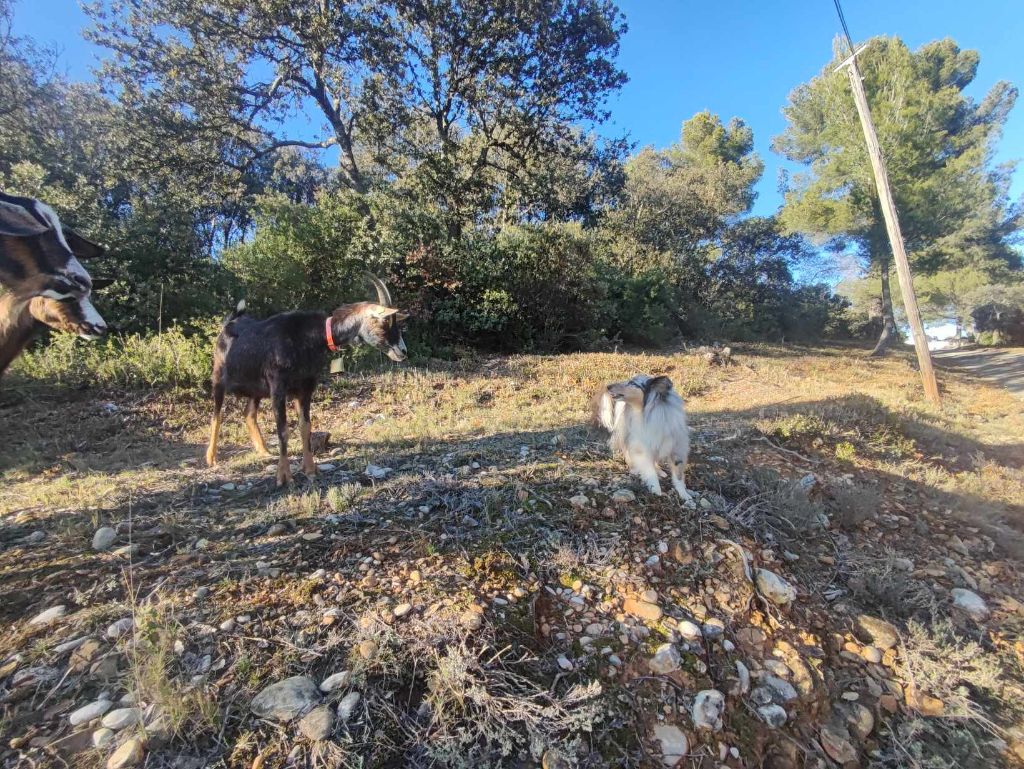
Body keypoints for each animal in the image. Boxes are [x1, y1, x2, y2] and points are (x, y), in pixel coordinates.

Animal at [205, 274, 409, 483]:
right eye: (384, 322)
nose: (403, 351)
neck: (309, 337)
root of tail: (231, 321)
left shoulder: (306, 387)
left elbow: (306, 427)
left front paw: (310, 469)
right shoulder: (278, 387)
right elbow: (283, 430)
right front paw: (284, 475)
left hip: (257, 389)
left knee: (248, 413)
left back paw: (264, 451)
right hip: (219, 377)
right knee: (216, 415)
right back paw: (211, 458)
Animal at [593, 372, 696, 505]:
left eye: (632, 383)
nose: (608, 386)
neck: (647, 413)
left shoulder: (677, 448)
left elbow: (678, 476)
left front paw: (684, 495)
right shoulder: (642, 447)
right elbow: (650, 471)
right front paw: (656, 490)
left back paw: (660, 471)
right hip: (627, 433)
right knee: (626, 450)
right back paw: (634, 469)